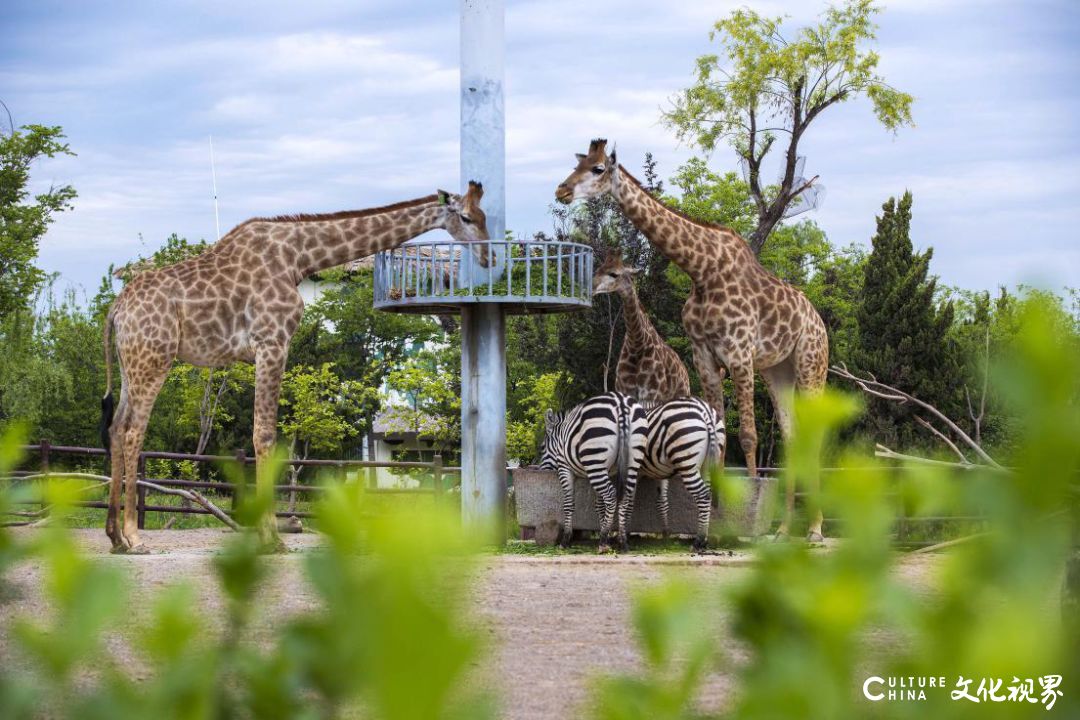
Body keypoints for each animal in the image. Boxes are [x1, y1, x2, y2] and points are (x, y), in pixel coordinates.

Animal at [100, 183, 490, 557]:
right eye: (467, 217)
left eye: (484, 216)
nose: (488, 256)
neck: (298, 258)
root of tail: (116, 309)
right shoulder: (272, 342)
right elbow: (264, 435)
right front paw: (272, 538)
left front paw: (267, 534)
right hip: (155, 359)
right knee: (134, 432)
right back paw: (134, 537)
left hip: (131, 363)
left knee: (116, 428)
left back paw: (115, 537)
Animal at [540, 395, 648, 552]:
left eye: (542, 448)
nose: (541, 470)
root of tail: (621, 403)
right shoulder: (605, 470)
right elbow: (599, 505)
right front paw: (606, 533)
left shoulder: (564, 467)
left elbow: (568, 503)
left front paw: (566, 540)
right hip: (630, 460)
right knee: (625, 497)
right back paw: (622, 541)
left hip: (595, 460)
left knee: (611, 496)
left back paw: (603, 543)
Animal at [591, 253, 691, 535]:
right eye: (598, 269)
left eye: (614, 274)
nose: (592, 288)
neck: (637, 344)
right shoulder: (626, 391)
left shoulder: (651, 395)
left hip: (678, 395)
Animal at [639, 397, 725, 548]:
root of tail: (705, 410)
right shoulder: (660, 472)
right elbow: (662, 500)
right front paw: (665, 533)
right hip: (708, 462)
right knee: (708, 494)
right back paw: (704, 537)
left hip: (687, 462)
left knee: (703, 495)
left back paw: (699, 540)